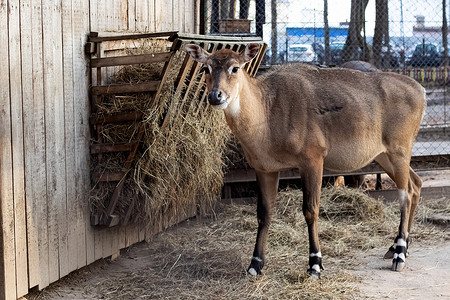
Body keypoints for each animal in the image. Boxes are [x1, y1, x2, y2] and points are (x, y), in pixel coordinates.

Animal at [185, 43, 426, 278]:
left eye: (235, 68)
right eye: (206, 68)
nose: (215, 96)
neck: (267, 113)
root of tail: (421, 91)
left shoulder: (312, 159)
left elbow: (311, 210)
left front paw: (315, 264)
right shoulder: (264, 168)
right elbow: (264, 213)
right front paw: (255, 265)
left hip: (399, 150)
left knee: (405, 194)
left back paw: (399, 254)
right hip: (384, 155)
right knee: (415, 184)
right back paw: (395, 248)